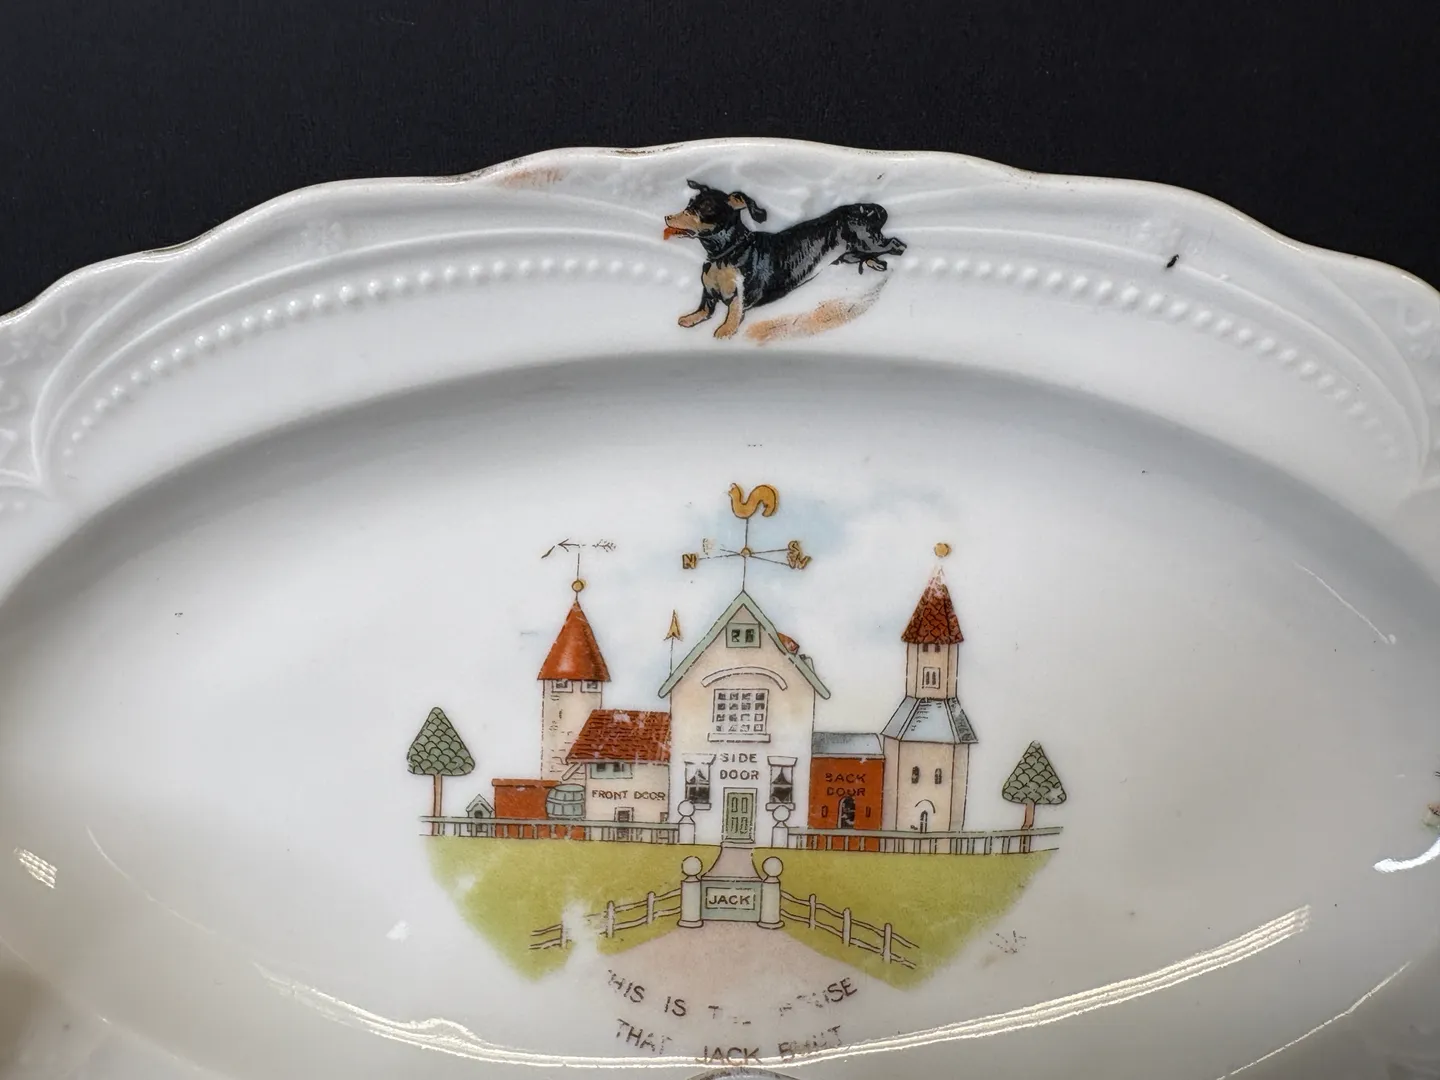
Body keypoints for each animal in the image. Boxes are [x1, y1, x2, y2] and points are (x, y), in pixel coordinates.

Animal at [664, 180, 907, 338]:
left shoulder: (740, 295)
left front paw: (725, 330)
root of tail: (862, 209)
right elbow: (704, 308)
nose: (667, 217)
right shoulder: (708, 292)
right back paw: (874, 262)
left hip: (869, 242)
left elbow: (733, 313)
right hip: (851, 253)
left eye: (703, 209)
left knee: (897, 244)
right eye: (688, 204)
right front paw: (690, 318)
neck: (724, 254)